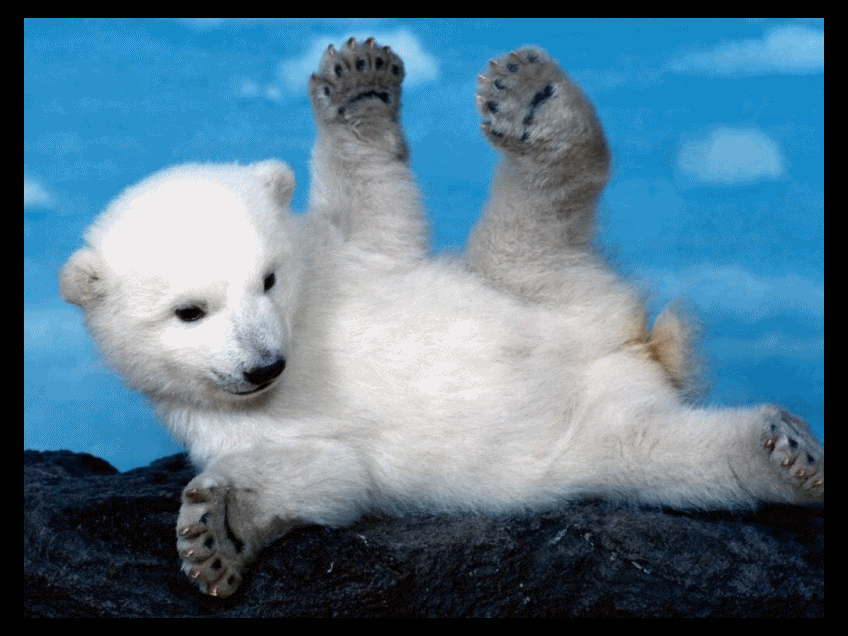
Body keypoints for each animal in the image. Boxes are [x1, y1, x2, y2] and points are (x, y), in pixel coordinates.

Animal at [60, 38, 824, 598]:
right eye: (189, 312)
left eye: (269, 279)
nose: (264, 365)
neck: (303, 333)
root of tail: (633, 346)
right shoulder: (222, 421)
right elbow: (324, 473)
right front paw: (217, 530)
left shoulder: (349, 261)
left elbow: (379, 212)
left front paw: (358, 86)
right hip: (597, 427)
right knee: (678, 458)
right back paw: (784, 451)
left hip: (528, 285)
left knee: (538, 213)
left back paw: (534, 98)